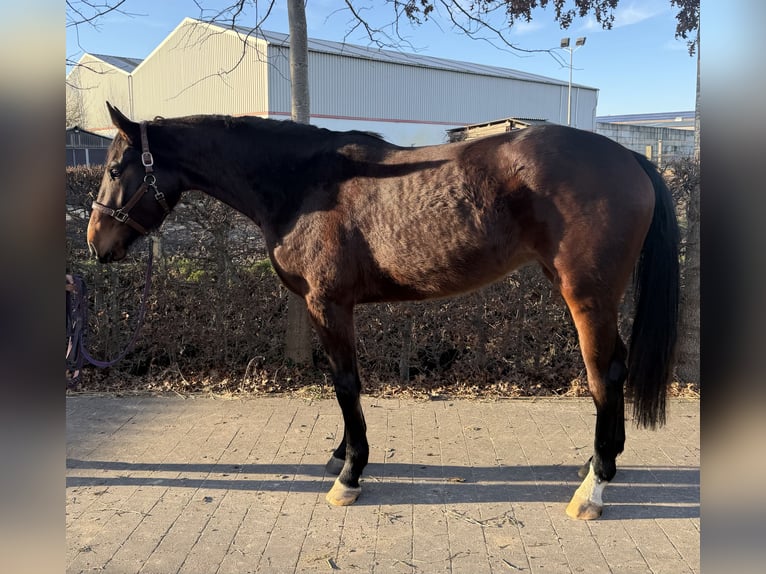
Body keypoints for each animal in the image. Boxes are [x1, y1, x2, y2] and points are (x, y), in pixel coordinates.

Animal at [87, 102, 679, 520]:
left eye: (116, 168)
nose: (96, 244)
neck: (304, 184)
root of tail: (630, 157)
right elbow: (340, 382)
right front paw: (340, 454)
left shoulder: (329, 304)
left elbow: (346, 384)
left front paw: (349, 476)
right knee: (616, 367)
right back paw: (598, 463)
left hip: (587, 296)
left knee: (604, 374)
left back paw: (593, 490)